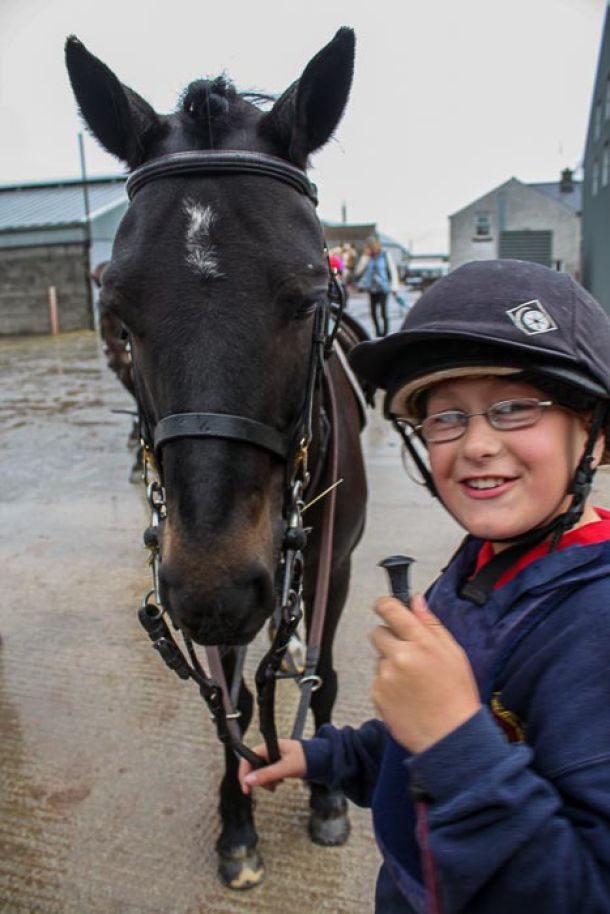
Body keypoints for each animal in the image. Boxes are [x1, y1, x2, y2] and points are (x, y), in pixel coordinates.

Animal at [65, 30, 366, 892]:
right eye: (116, 313)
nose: (214, 591)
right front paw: (237, 822)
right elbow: (228, 700)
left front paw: (325, 791)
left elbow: (323, 675)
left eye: (310, 298)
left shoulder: (329, 565)